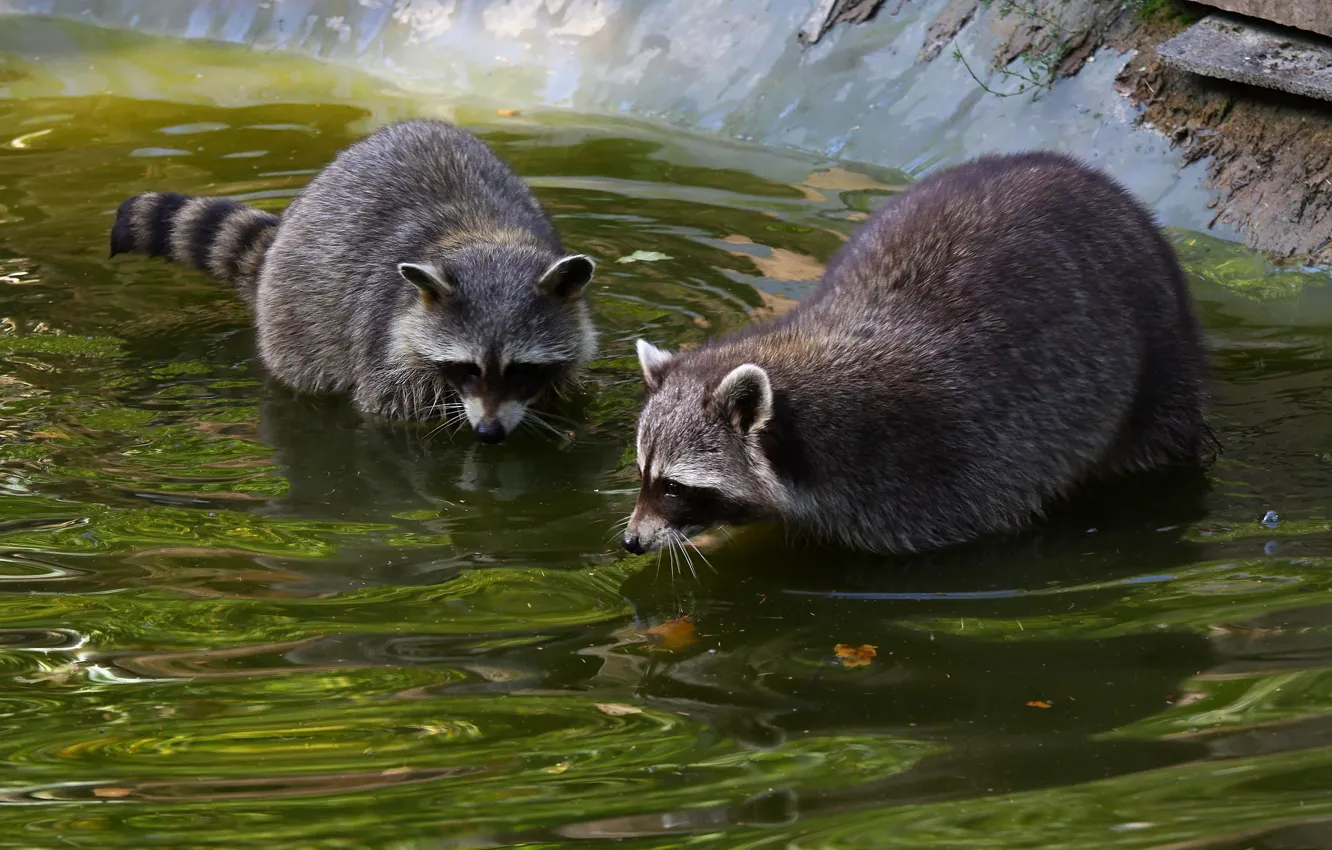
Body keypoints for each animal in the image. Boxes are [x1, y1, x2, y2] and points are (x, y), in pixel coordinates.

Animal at [110, 119, 597, 443]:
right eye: (466, 368)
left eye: (522, 369)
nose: (489, 432)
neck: (484, 239)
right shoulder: (385, 339)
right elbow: (391, 412)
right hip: (292, 317)